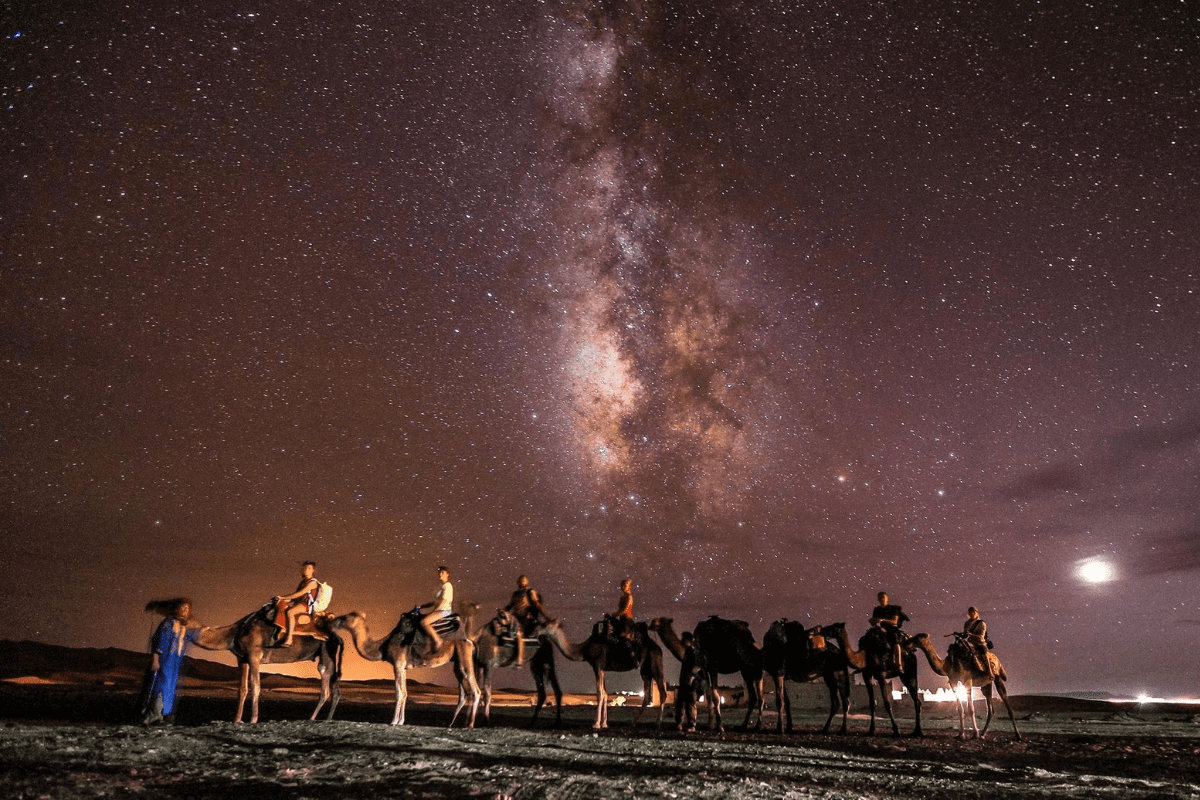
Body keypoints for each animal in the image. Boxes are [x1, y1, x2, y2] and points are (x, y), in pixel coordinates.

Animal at [192, 606, 343, 724]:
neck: (234, 633)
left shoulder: (254, 655)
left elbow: (255, 686)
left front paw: (253, 720)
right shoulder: (242, 659)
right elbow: (242, 689)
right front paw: (236, 720)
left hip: (326, 652)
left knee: (325, 685)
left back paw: (312, 718)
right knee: (335, 690)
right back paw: (328, 719)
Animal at [331, 604, 480, 729]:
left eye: (345, 617)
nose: (333, 620)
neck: (382, 645)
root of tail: (470, 641)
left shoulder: (397, 664)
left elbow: (399, 693)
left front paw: (394, 721)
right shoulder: (403, 667)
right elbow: (405, 692)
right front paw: (401, 721)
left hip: (464, 655)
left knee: (475, 689)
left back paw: (470, 725)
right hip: (457, 661)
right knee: (463, 690)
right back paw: (453, 723)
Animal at [542, 618, 672, 734]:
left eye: (546, 625)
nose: (538, 631)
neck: (584, 649)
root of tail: (658, 648)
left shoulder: (597, 666)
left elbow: (600, 693)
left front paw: (596, 724)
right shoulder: (603, 669)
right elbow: (605, 693)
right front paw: (604, 723)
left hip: (655, 664)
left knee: (663, 692)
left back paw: (657, 724)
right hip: (645, 670)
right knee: (647, 694)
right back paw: (633, 722)